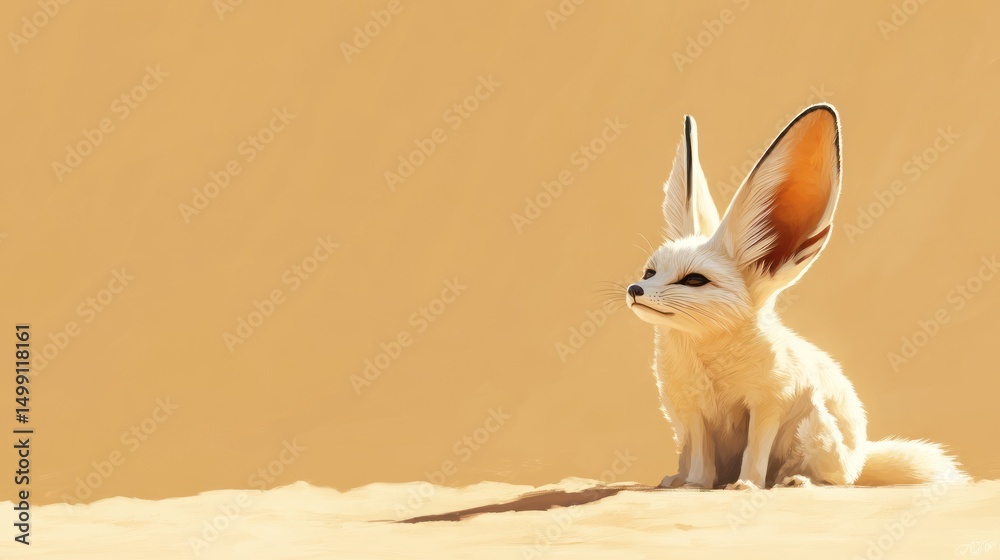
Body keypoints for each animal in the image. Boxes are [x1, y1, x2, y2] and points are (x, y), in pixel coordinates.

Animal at [625, 104, 969, 489]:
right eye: (650, 272)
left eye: (694, 280)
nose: (635, 290)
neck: (705, 363)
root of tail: (860, 458)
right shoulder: (693, 411)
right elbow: (701, 458)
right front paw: (695, 486)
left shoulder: (769, 402)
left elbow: (755, 452)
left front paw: (746, 485)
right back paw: (678, 479)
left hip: (812, 424)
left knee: (834, 480)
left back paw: (796, 481)